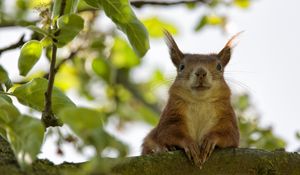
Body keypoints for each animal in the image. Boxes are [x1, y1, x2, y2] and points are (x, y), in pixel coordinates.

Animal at [141, 30, 241, 167]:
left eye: (219, 67)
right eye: (181, 67)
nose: (201, 72)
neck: (200, 102)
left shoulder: (227, 117)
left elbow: (230, 135)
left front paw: (210, 140)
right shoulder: (171, 115)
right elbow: (167, 132)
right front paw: (189, 144)